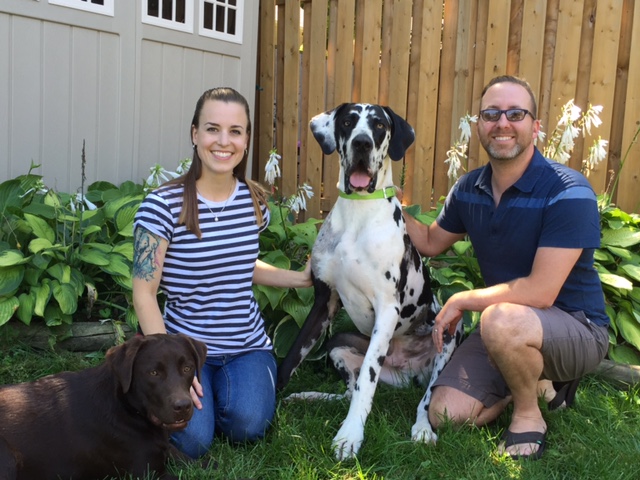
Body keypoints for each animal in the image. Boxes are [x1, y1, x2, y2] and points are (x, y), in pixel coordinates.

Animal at [0, 333, 207, 480]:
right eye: (153, 373)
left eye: (187, 368)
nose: (183, 406)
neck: (126, 407)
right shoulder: (149, 473)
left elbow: (195, 462)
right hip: (7, 458)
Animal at [277, 103, 463, 460]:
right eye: (348, 121)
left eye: (378, 125)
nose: (361, 143)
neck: (357, 214)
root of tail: (409, 371)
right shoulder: (324, 302)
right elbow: (292, 355)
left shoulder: (388, 309)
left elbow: (367, 380)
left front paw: (349, 435)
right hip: (337, 344)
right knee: (347, 392)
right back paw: (313, 397)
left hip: (449, 331)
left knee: (425, 399)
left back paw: (422, 428)